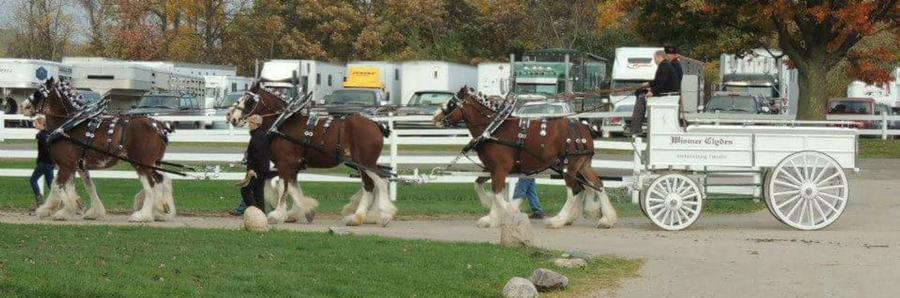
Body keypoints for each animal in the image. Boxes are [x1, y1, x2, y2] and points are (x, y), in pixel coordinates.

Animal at [20, 78, 175, 222]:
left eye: (39, 93)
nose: (23, 106)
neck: (67, 126)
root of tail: (158, 126)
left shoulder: (66, 166)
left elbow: (57, 186)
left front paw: (64, 209)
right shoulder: (77, 167)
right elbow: (86, 187)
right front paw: (84, 210)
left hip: (141, 164)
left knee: (151, 185)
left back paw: (144, 215)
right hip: (152, 164)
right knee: (162, 180)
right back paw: (163, 211)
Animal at [227, 81, 396, 226]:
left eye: (249, 100)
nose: (231, 117)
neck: (283, 123)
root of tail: (375, 124)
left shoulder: (285, 164)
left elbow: (283, 188)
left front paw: (277, 214)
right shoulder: (292, 166)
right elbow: (293, 189)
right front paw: (304, 211)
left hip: (365, 162)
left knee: (379, 182)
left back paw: (379, 215)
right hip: (361, 164)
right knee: (370, 184)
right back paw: (360, 216)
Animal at [430, 86, 616, 228]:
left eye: (451, 103)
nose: (434, 117)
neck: (495, 128)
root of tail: (584, 127)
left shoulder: (500, 169)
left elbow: (498, 194)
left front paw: (509, 212)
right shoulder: (491, 168)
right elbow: (480, 186)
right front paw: (491, 216)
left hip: (568, 167)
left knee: (575, 191)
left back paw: (557, 221)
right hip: (582, 165)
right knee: (597, 185)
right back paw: (605, 219)